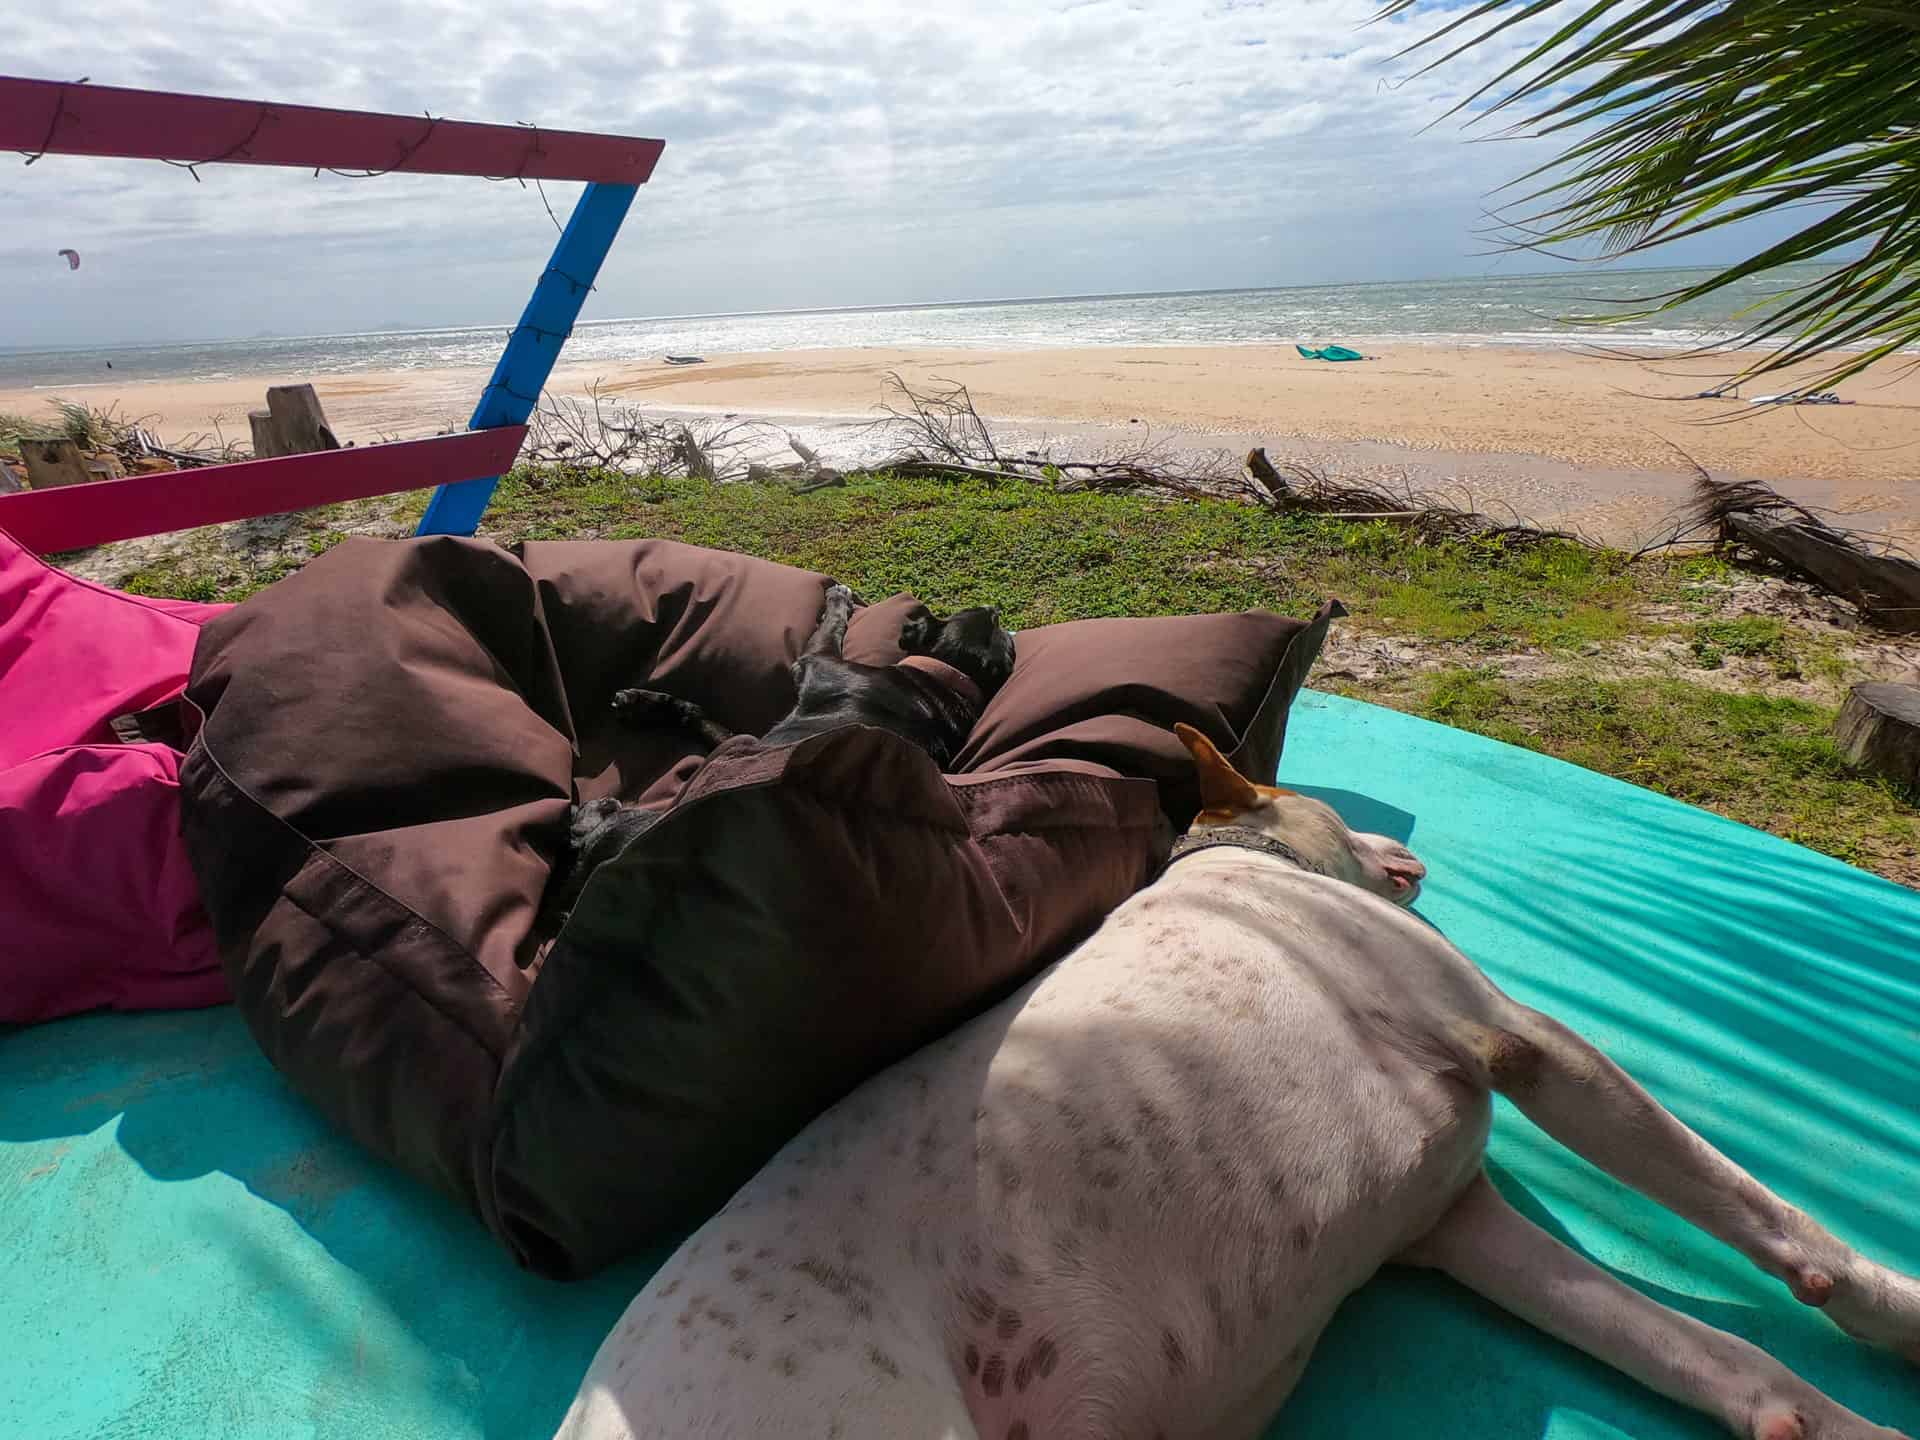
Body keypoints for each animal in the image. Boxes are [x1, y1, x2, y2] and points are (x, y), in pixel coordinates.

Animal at [545, 587, 1013, 917]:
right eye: (995, 621)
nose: (997, 607)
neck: (945, 680)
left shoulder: (816, 661)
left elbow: (831, 629)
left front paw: (838, 599)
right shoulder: (745, 740)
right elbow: (701, 715)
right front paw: (647, 703)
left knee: (582, 830)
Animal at [556, 725, 1920, 1440]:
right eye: (1324, 795)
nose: (1418, 857)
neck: (1246, 862)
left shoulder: (1454, 1227)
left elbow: (1716, 1353)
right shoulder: (1526, 1042)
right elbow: (1754, 1209)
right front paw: (1891, 1306)